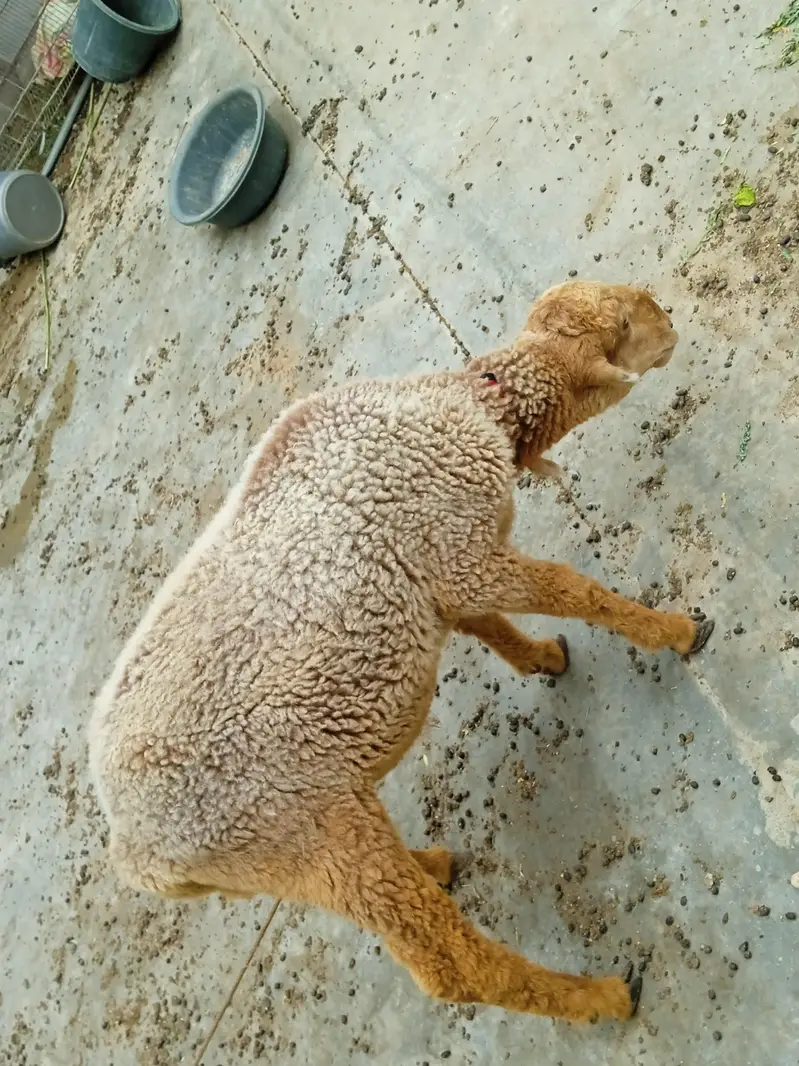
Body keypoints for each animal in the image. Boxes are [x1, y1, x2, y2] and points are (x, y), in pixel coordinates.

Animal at [89, 281, 714, 1027]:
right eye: (624, 323)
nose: (672, 321)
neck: (467, 406)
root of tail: (139, 858)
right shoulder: (463, 551)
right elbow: (571, 588)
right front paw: (674, 631)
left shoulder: (441, 576)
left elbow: (485, 623)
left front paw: (541, 658)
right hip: (305, 832)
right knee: (448, 968)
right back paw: (599, 996)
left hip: (295, 855)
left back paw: (434, 866)